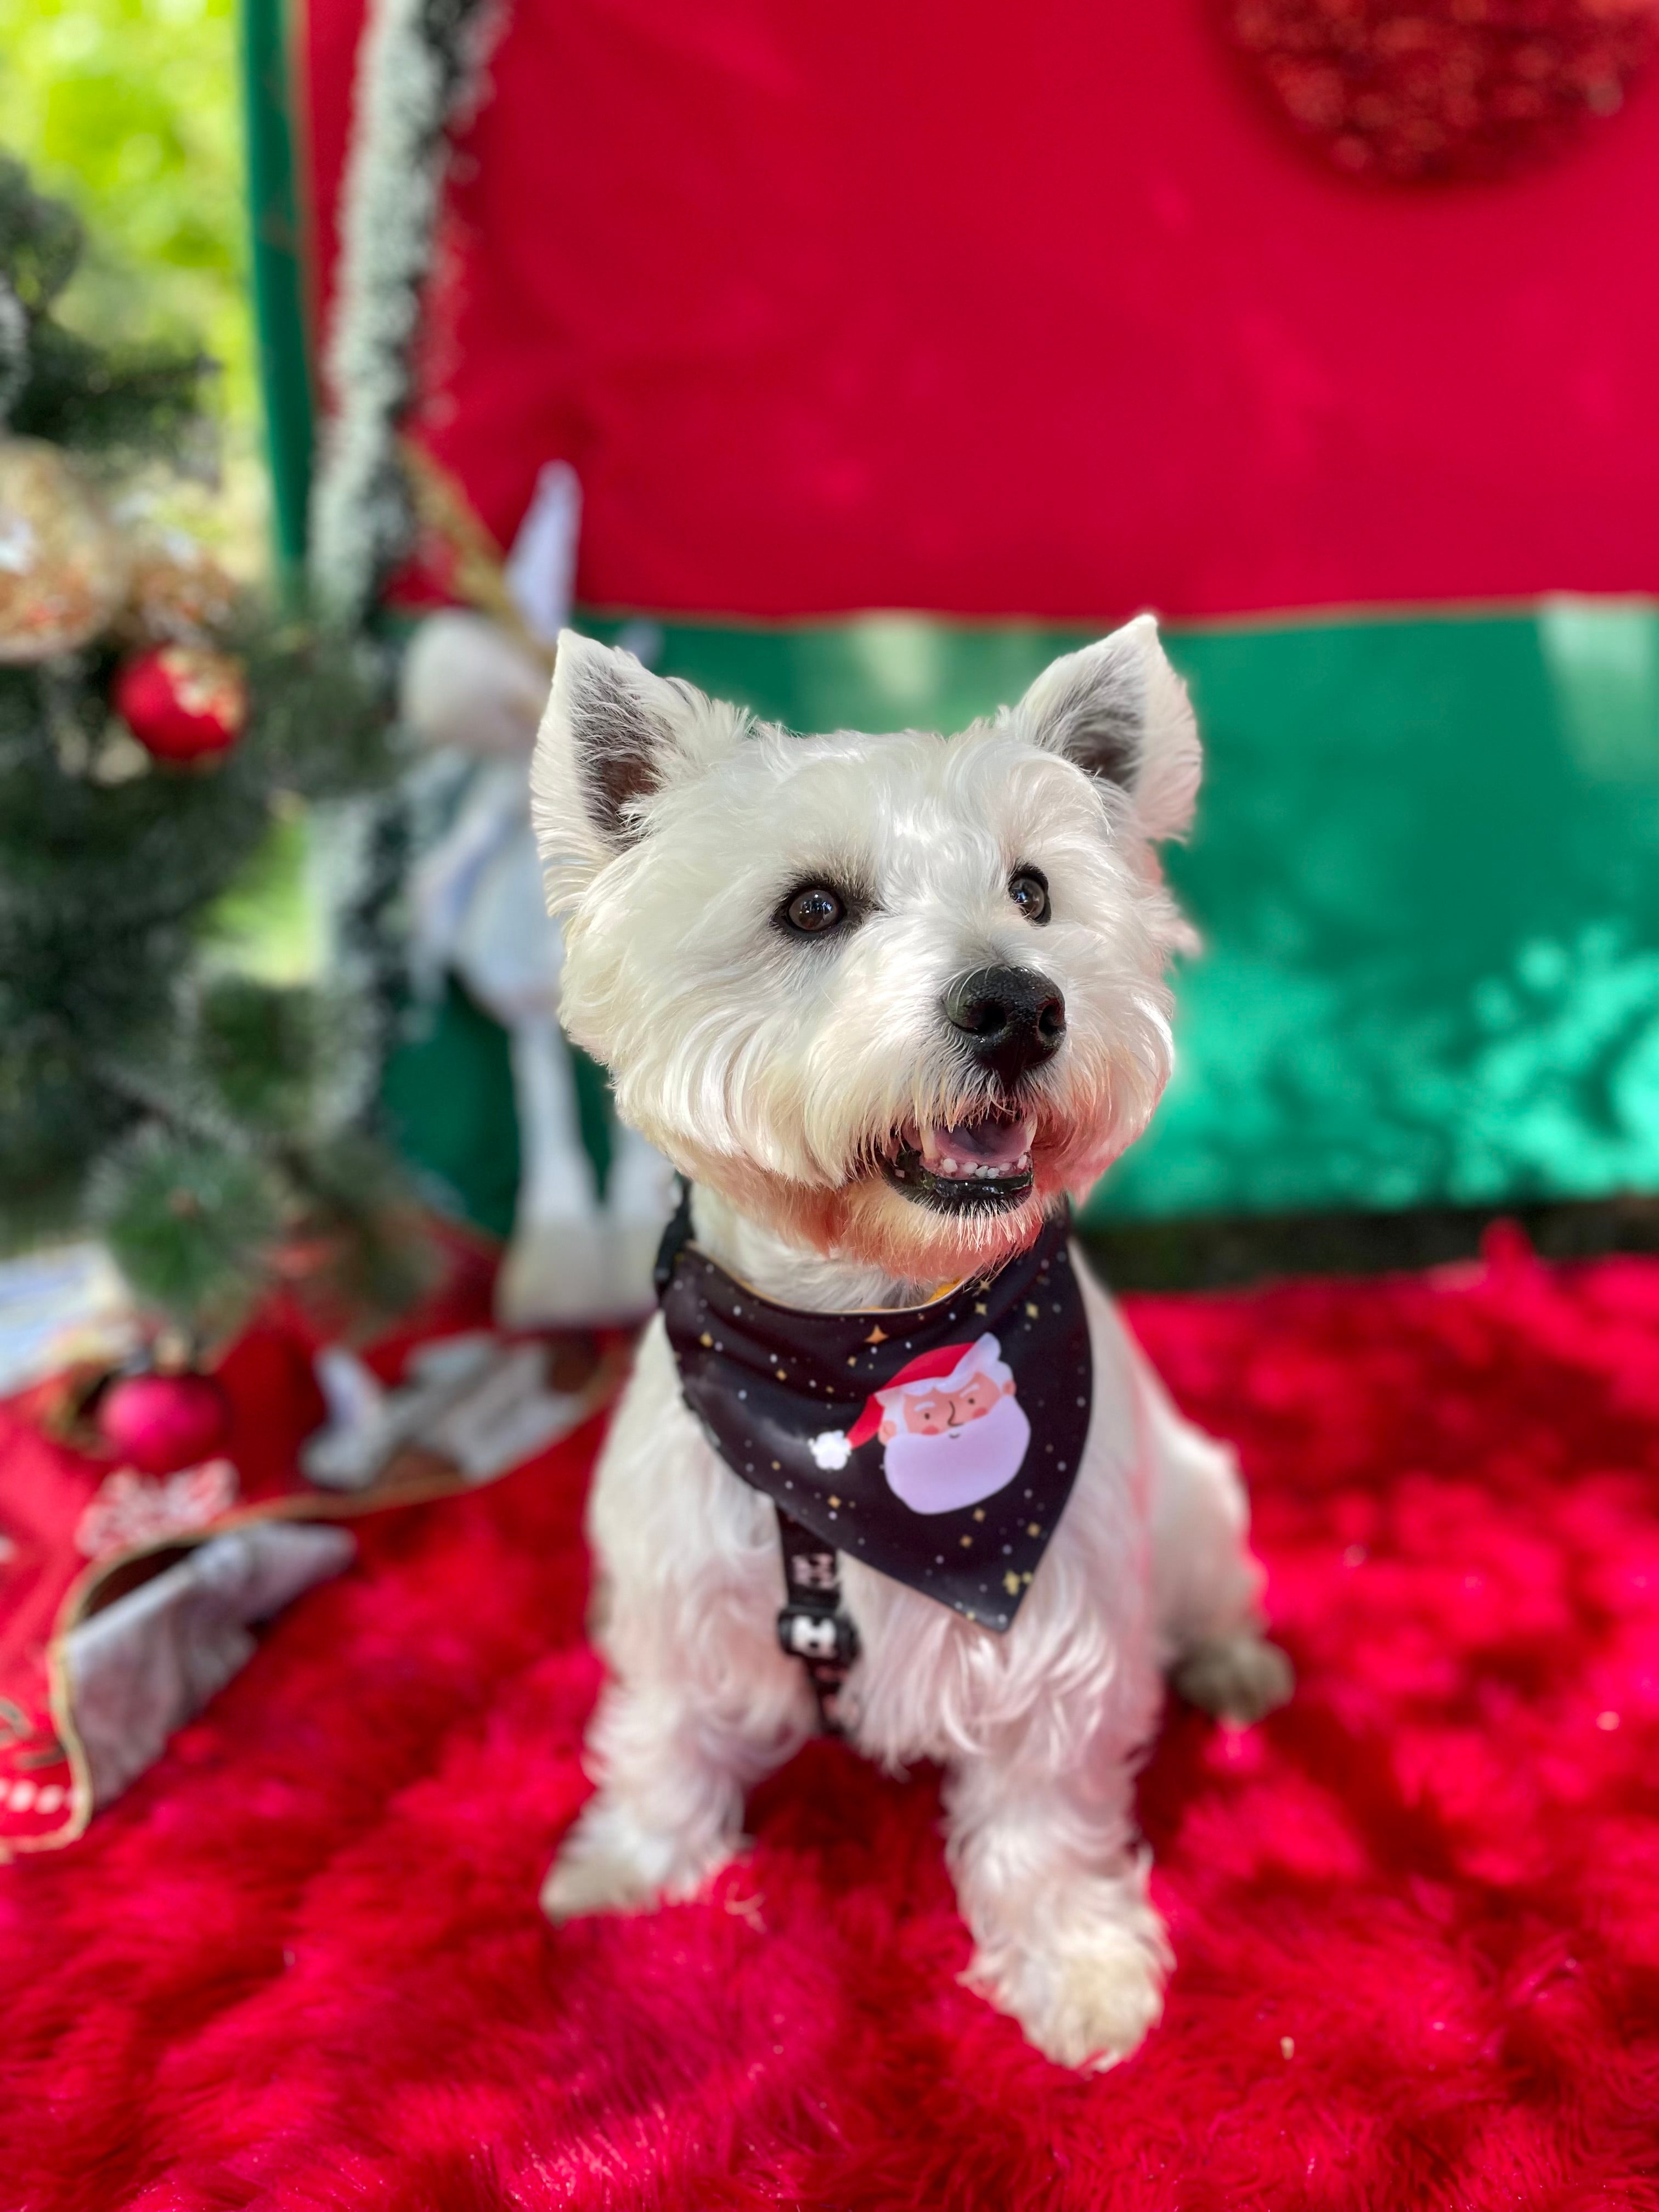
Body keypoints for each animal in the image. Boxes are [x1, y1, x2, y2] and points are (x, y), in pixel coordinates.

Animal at [533, 614, 1300, 2061]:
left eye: (1035, 892)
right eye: (811, 909)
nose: (1019, 1006)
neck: (861, 1350)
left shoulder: (1054, 1631)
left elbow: (1043, 1825)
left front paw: (1079, 1973)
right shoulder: (676, 1592)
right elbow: (666, 1734)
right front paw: (628, 1868)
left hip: (1196, 1507)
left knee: (1216, 1589)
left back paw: (1236, 1667)